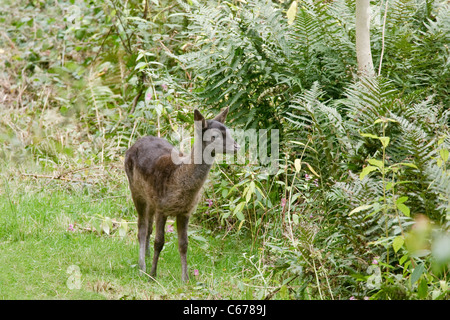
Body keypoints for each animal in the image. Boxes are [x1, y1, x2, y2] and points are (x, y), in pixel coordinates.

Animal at [124, 107, 239, 280]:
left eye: (229, 131)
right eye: (214, 136)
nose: (237, 146)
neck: (178, 180)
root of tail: (134, 144)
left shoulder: (185, 211)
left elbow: (184, 244)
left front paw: (185, 278)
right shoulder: (162, 207)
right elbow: (159, 242)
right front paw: (152, 275)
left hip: (150, 199)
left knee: (148, 228)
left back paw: (147, 257)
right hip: (136, 190)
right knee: (142, 229)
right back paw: (142, 265)